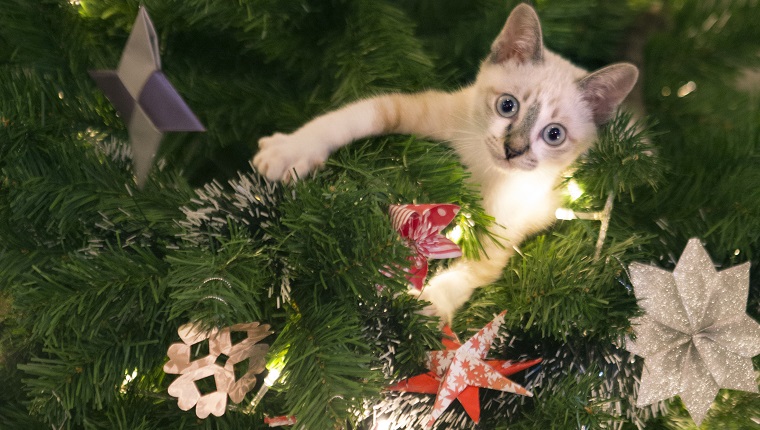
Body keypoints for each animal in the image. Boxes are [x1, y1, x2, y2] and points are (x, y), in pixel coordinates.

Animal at [252, 4, 640, 322]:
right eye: (507, 106)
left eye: (554, 135)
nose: (512, 150)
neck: (483, 169)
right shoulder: (427, 111)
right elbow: (356, 115)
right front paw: (291, 150)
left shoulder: (506, 227)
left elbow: (475, 270)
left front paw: (429, 306)